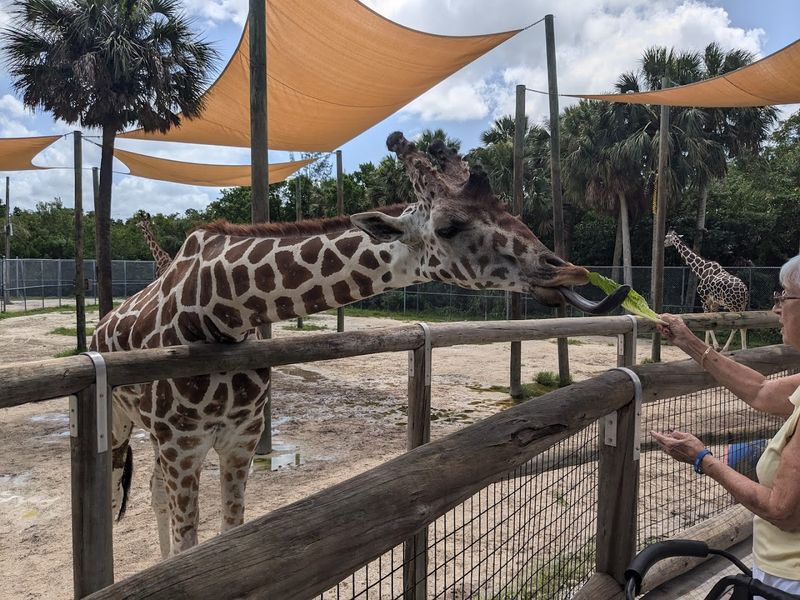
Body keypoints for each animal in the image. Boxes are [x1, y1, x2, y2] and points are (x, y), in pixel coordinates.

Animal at [91, 132, 629, 558]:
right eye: (449, 226)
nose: (568, 273)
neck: (218, 310)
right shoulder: (182, 443)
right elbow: (191, 545)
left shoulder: (240, 439)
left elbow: (226, 534)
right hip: (120, 426)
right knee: (126, 492)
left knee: (152, 491)